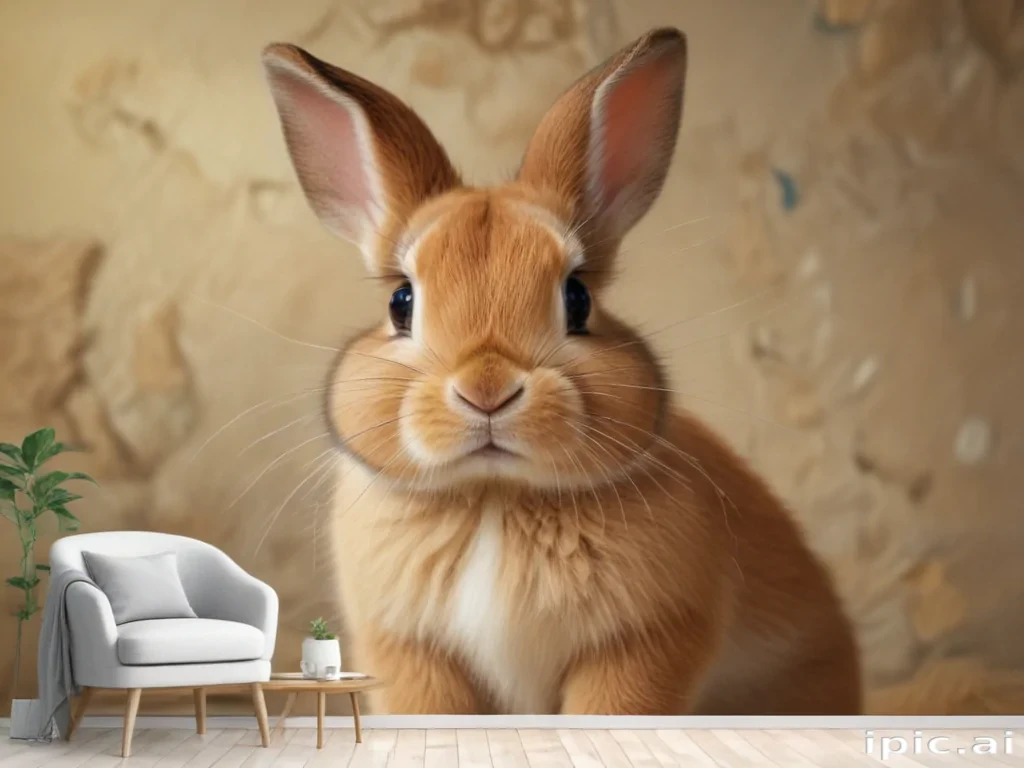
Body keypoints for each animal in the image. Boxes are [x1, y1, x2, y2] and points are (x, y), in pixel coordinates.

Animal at [261, 27, 862, 715]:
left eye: (578, 299)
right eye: (400, 302)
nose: (486, 390)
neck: (494, 498)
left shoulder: (645, 641)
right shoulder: (409, 651)